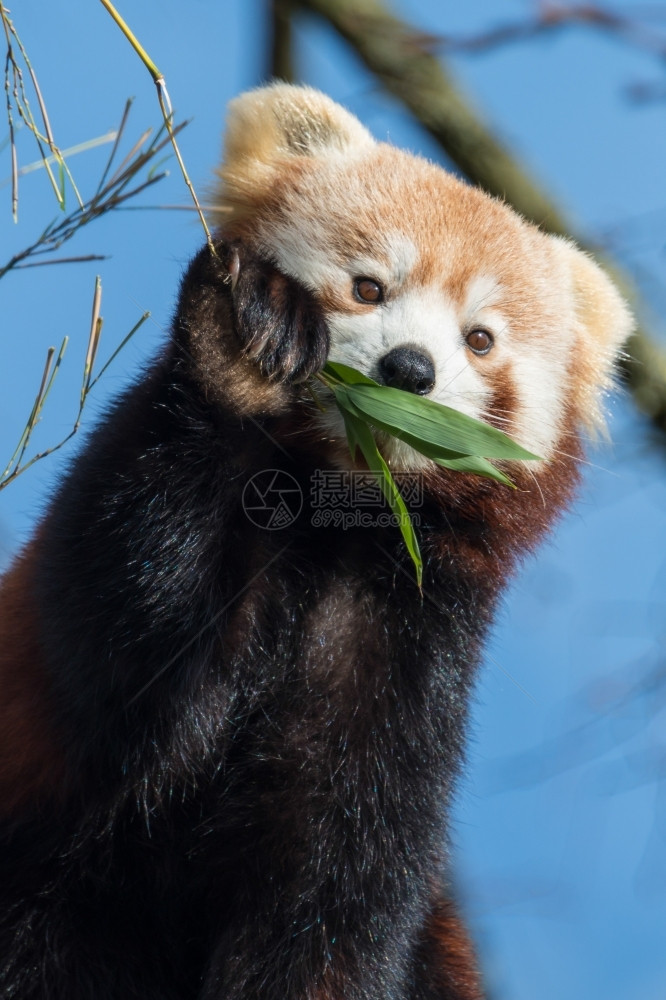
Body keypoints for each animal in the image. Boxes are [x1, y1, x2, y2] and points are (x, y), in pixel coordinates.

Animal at [0, 86, 632, 1000]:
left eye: (480, 339)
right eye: (368, 286)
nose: (410, 371)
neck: (330, 523)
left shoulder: (405, 654)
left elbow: (335, 906)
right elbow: (123, 658)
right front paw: (245, 344)